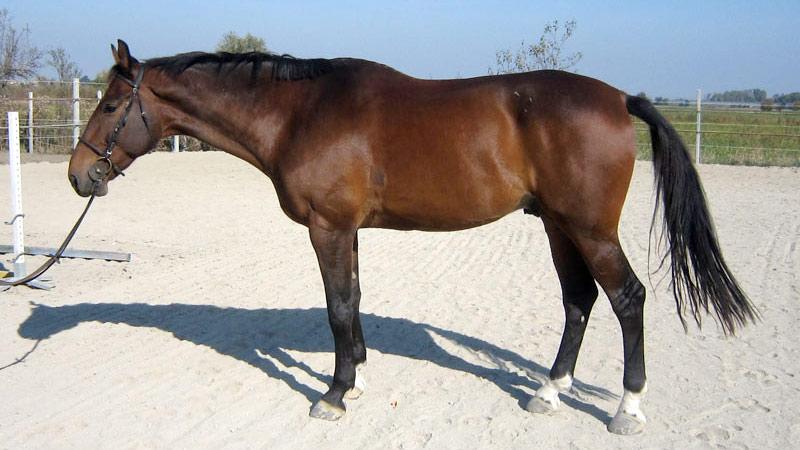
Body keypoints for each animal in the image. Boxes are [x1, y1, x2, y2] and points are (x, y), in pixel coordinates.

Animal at [68, 40, 757, 435]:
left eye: (110, 105)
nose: (79, 176)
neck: (298, 113)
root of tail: (618, 98)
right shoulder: (346, 231)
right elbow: (352, 303)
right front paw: (357, 379)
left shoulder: (328, 228)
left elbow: (337, 306)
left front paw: (334, 395)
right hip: (559, 228)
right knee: (578, 302)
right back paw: (548, 393)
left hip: (590, 230)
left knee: (626, 300)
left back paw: (626, 409)